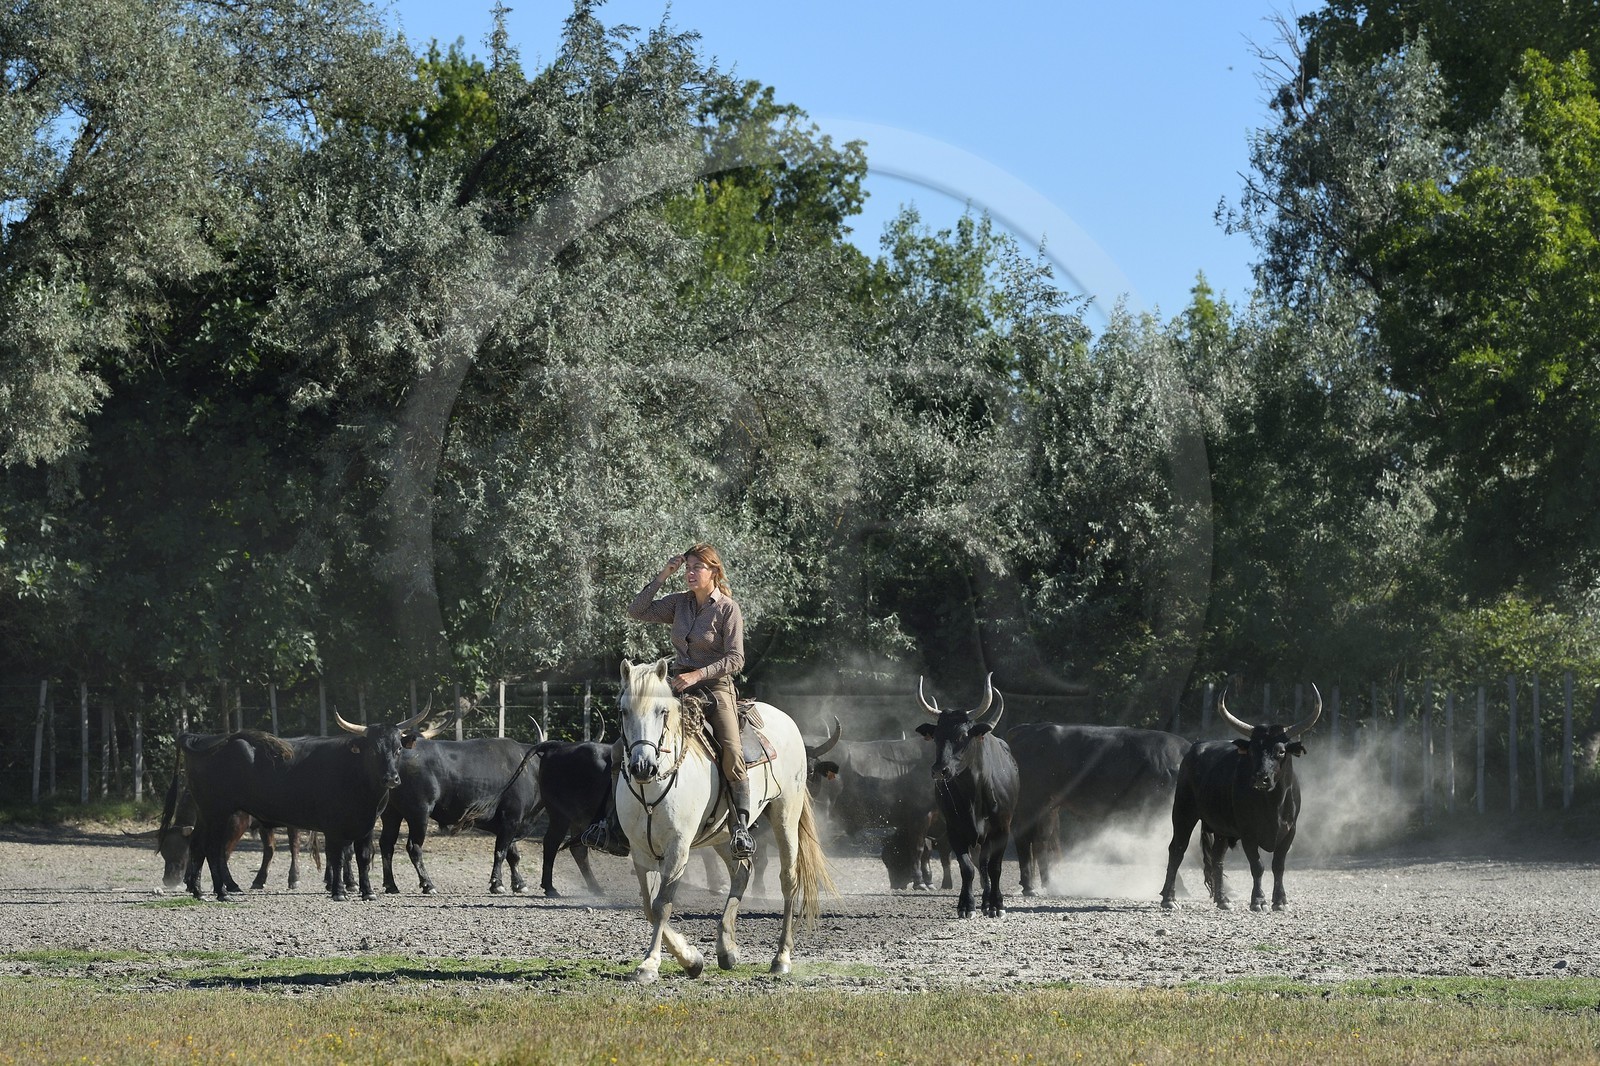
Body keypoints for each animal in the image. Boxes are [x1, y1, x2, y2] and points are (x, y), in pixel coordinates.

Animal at [614, 656, 835, 981]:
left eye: (662, 711)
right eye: (624, 710)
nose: (643, 767)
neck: (652, 792)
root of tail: (786, 720)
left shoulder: (678, 849)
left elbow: (662, 905)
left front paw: (650, 964)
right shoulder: (641, 852)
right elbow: (648, 906)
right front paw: (692, 958)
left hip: (785, 815)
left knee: (788, 880)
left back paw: (781, 958)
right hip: (724, 834)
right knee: (741, 871)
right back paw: (726, 949)